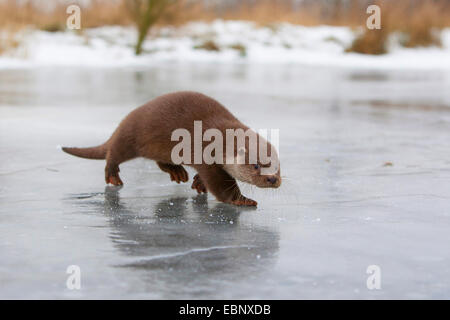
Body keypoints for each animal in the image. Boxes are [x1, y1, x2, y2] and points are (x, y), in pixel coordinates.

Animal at [62, 91, 282, 206]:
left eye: (278, 167)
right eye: (256, 165)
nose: (273, 179)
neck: (221, 139)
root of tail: (125, 121)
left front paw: (199, 183)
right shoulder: (206, 156)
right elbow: (222, 185)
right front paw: (243, 200)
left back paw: (177, 172)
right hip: (130, 137)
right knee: (113, 153)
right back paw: (113, 177)